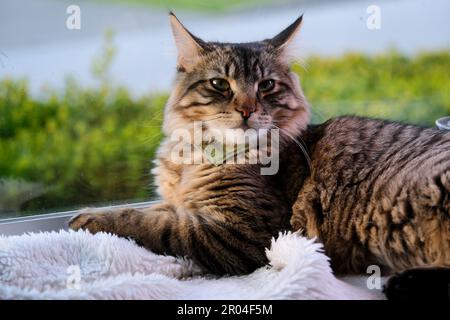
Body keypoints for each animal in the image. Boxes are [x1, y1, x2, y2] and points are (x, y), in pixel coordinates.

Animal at [68, 13, 448, 288]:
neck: (198, 158)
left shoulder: (243, 232)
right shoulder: (184, 203)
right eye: (219, 84)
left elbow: (155, 223)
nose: (247, 110)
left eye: (266, 85)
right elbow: (157, 209)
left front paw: (90, 218)